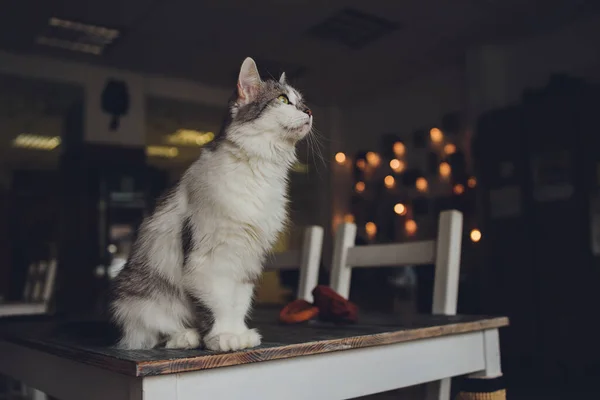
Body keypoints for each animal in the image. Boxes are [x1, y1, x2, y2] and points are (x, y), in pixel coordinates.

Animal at [110, 56, 314, 350]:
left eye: (301, 101)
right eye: (283, 100)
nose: (309, 111)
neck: (258, 171)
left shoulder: (247, 259)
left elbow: (238, 302)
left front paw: (240, 333)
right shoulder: (211, 257)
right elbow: (220, 304)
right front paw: (224, 337)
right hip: (133, 297)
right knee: (150, 333)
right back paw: (186, 335)